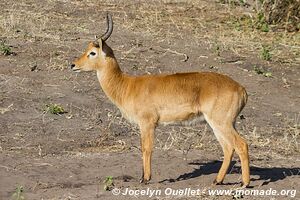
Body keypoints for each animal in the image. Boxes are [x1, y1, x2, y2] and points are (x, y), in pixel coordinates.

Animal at [70, 14, 251, 188]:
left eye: (92, 52)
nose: (73, 65)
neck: (127, 86)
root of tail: (241, 89)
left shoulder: (147, 123)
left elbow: (146, 148)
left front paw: (145, 179)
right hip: (221, 124)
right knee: (229, 148)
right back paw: (218, 181)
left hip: (221, 123)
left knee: (241, 144)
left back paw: (245, 183)